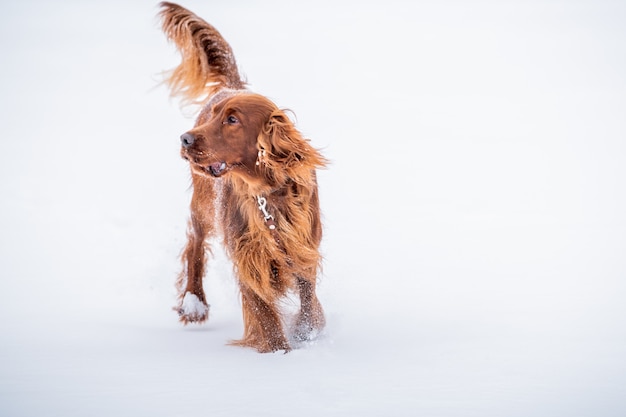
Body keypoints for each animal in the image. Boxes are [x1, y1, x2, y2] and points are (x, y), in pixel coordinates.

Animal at [157, 1, 326, 352]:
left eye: (232, 120)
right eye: (214, 117)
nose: (185, 139)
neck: (269, 195)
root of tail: (229, 86)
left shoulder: (303, 251)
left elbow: (308, 302)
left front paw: (307, 333)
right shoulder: (248, 257)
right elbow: (264, 314)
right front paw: (279, 352)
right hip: (203, 201)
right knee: (194, 240)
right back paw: (194, 302)